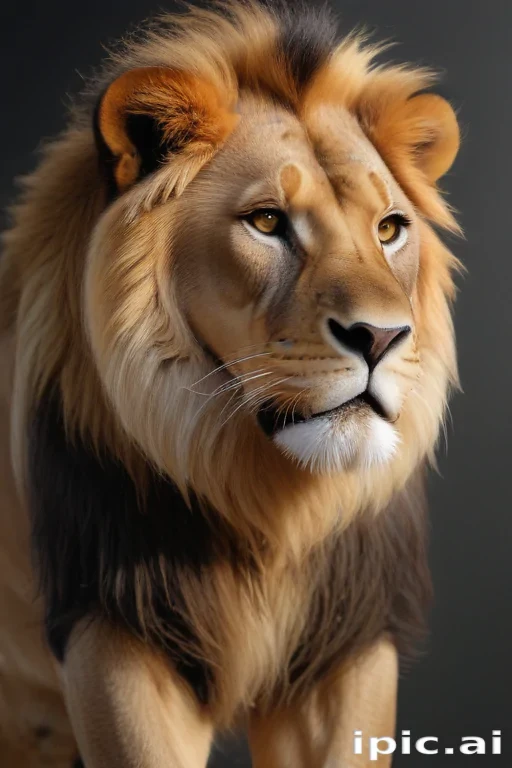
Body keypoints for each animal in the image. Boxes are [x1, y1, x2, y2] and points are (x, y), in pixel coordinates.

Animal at [0, 1, 461, 766]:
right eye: (268, 222)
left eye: (390, 228)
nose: (381, 337)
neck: (265, 509)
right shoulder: (113, 628)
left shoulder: (349, 638)